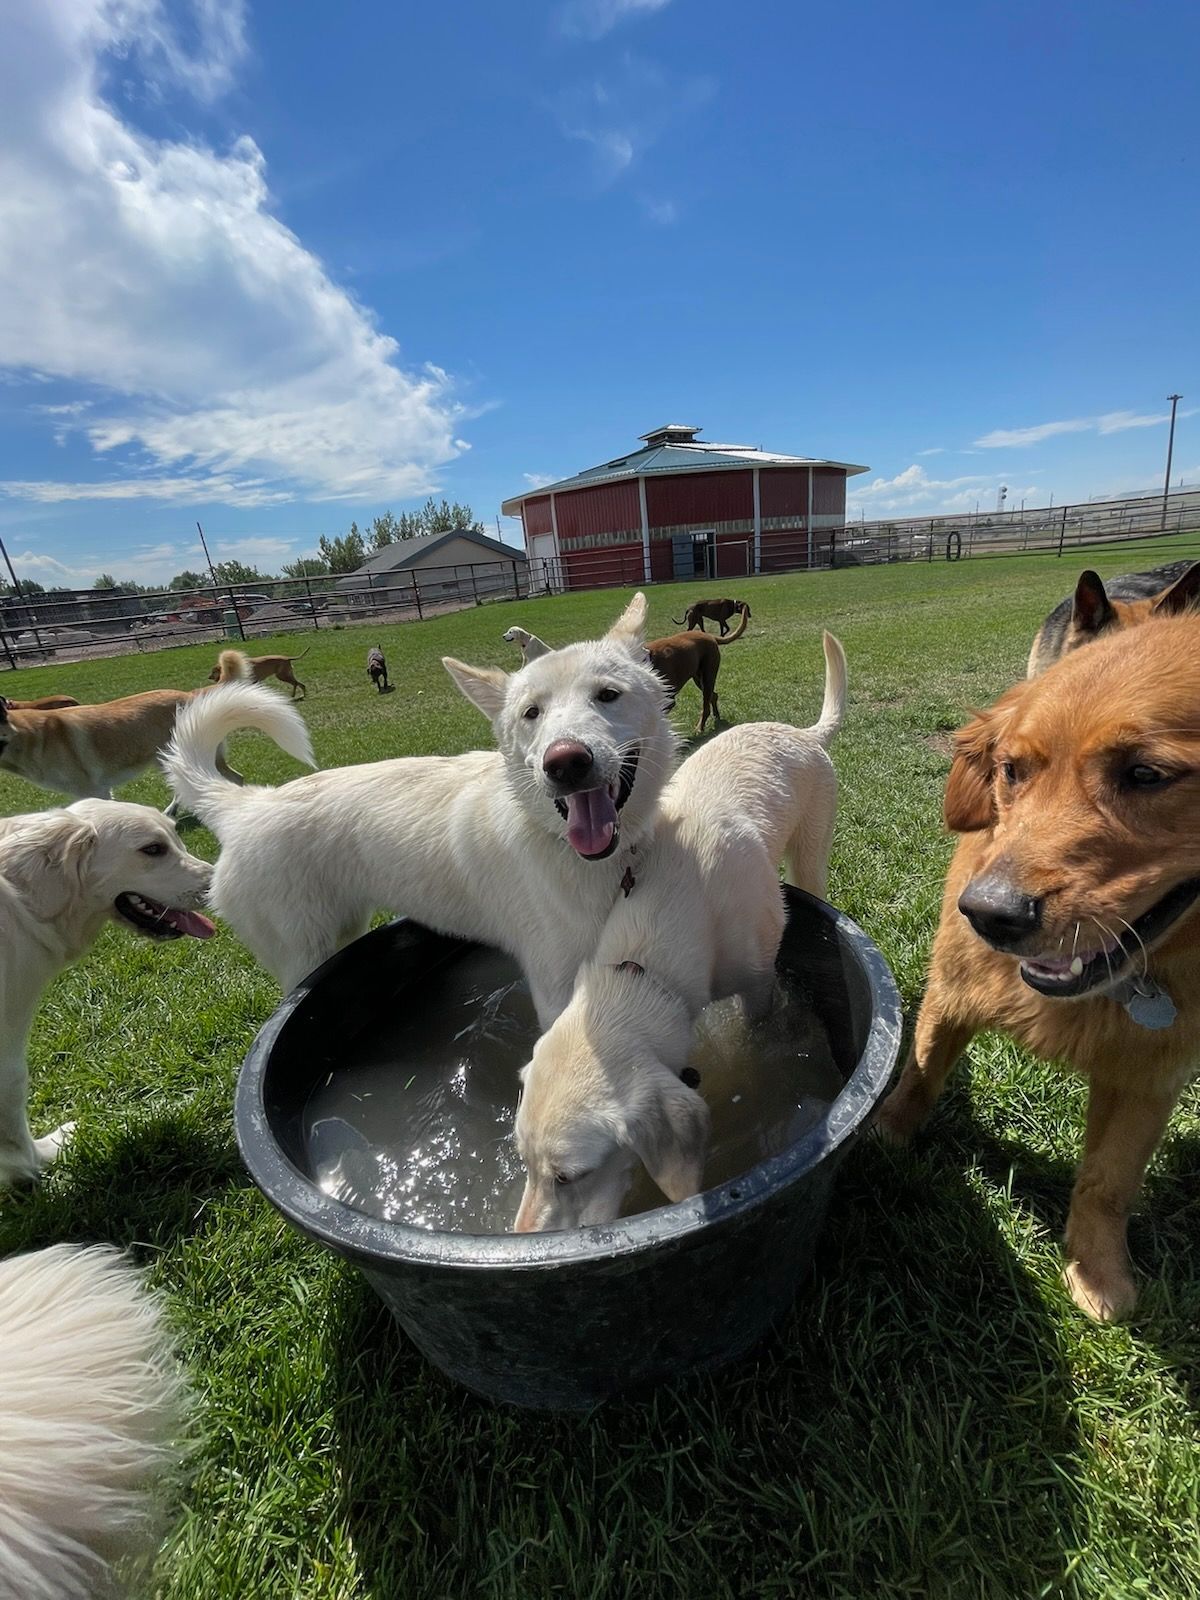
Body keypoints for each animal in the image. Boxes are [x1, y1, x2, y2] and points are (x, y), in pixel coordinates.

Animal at [0, 800, 213, 1185]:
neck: (22, 898)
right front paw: (42, 1155)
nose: (217, 881)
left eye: (176, 838)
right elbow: (14, 1103)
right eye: (153, 849)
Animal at [162, 595, 679, 1022]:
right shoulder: (557, 993)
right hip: (303, 954)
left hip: (343, 931)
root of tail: (248, 804)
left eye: (607, 695)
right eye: (532, 713)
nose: (565, 763)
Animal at [513, 632, 846, 1231]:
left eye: (569, 1176)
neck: (642, 968)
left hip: (812, 846)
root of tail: (801, 732)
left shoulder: (757, 983)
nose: (519, 1237)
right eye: (522, 1160)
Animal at [877, 613, 1200, 1321]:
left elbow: (1108, 1179)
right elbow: (919, 1074)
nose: (989, 914)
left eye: (1146, 774)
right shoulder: (952, 991)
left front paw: (1098, 1272)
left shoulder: (1153, 1069)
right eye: (1011, 770)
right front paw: (885, 1134)